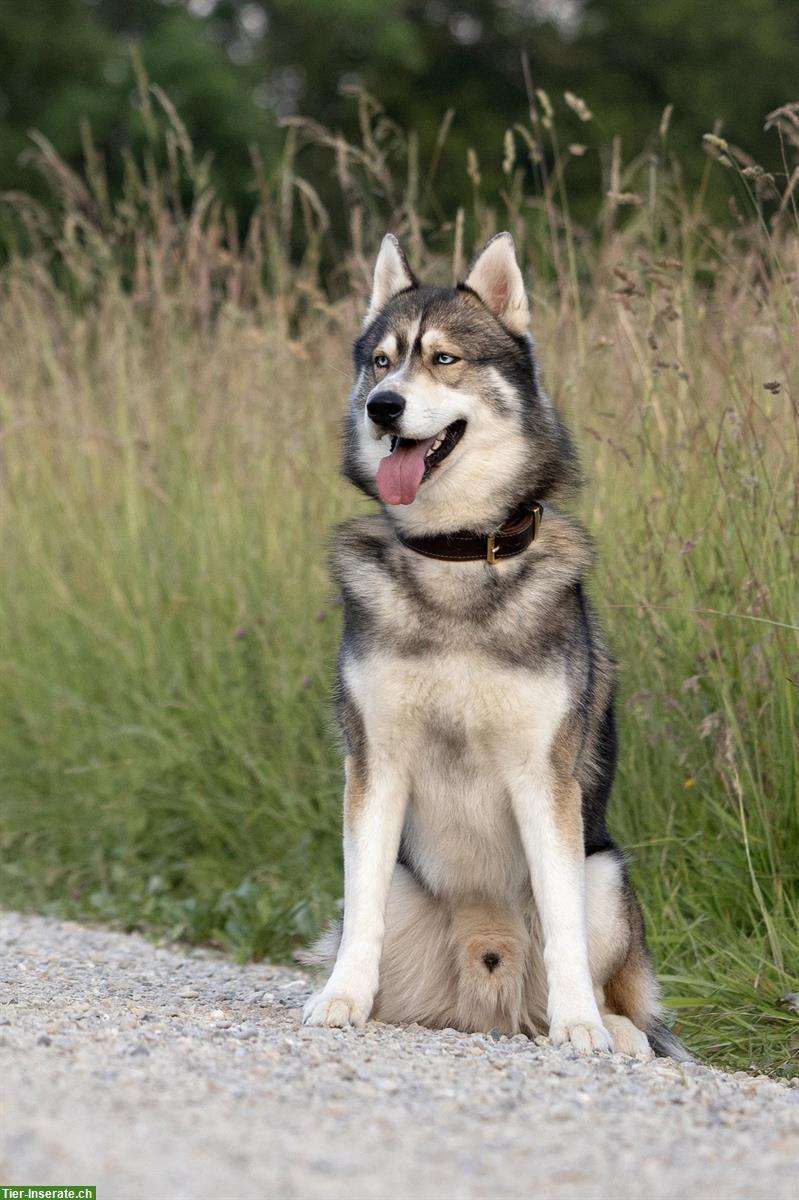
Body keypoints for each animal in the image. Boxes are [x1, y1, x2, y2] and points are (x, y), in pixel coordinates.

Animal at [302, 234, 686, 1060]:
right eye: (381, 361)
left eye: (444, 358)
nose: (383, 408)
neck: (455, 555)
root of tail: (487, 991)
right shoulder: (374, 764)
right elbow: (361, 905)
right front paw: (340, 998)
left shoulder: (545, 779)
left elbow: (563, 927)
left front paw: (580, 1028)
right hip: (413, 890)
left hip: (607, 873)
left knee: (617, 987)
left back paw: (611, 1028)